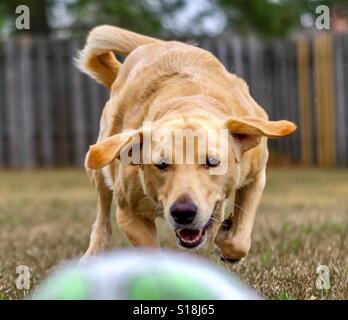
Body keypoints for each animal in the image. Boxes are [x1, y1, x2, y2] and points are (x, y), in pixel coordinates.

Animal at [77, 26, 296, 262]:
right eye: (162, 164)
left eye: (212, 162)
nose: (183, 212)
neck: (189, 101)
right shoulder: (129, 213)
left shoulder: (256, 175)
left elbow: (239, 238)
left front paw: (226, 238)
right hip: (101, 161)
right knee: (102, 218)